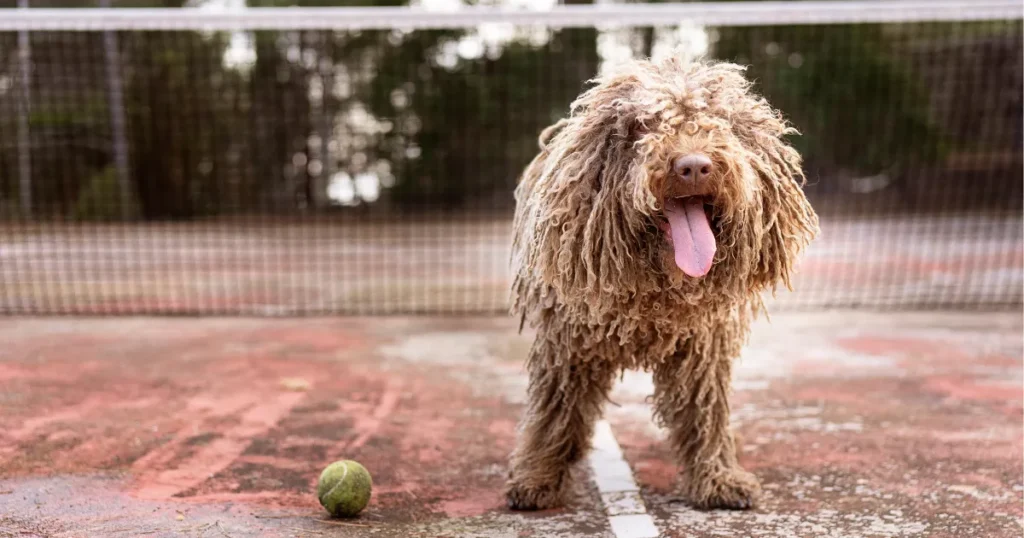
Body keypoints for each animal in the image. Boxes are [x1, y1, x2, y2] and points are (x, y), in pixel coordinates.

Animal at [503, 55, 815, 512]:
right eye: (640, 126)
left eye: (719, 121)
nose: (694, 165)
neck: (658, 286)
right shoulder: (568, 344)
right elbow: (555, 411)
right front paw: (536, 476)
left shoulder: (703, 349)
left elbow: (704, 413)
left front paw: (716, 477)